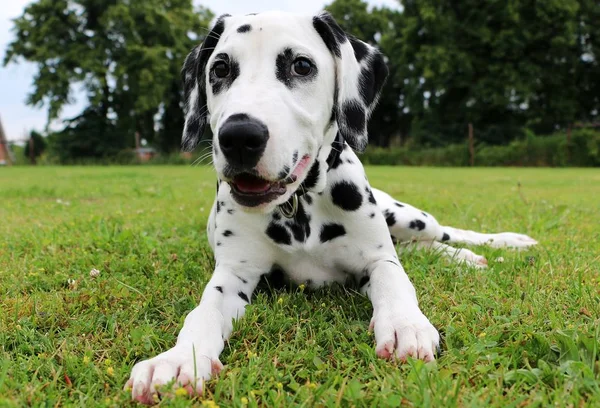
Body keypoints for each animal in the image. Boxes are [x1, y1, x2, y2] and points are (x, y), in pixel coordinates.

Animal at [124, 11, 536, 404]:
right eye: (220, 69)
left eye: (301, 65)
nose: (239, 136)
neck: (299, 205)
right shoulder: (233, 274)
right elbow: (203, 311)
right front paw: (178, 360)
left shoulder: (377, 258)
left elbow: (396, 282)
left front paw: (406, 324)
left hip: (409, 217)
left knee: (443, 234)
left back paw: (494, 247)